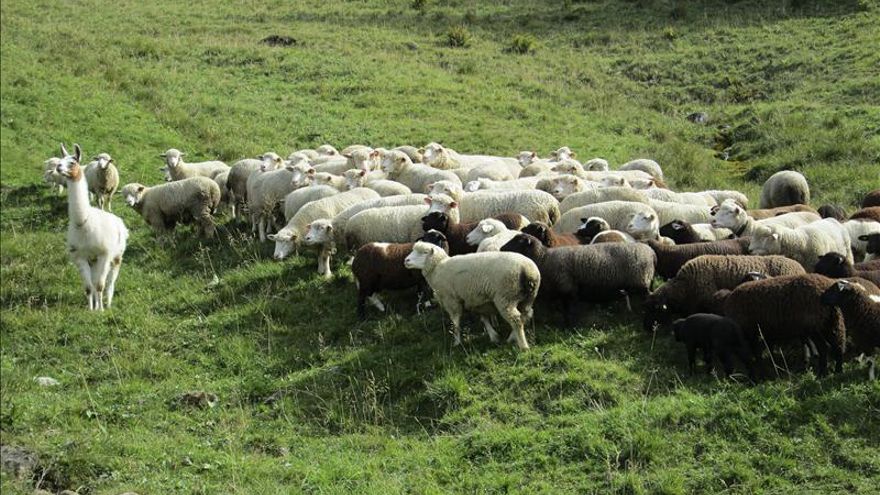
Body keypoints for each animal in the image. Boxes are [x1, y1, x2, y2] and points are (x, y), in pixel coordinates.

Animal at [55, 144, 128, 311]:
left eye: (72, 162)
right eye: (60, 160)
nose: (58, 167)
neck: (83, 222)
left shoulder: (104, 254)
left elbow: (100, 285)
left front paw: (101, 310)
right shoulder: (80, 256)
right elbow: (89, 287)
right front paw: (91, 309)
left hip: (116, 255)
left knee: (110, 281)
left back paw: (108, 302)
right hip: (93, 259)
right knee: (94, 282)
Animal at [404, 241, 540, 350]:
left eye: (424, 252)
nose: (406, 260)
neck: (438, 267)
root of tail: (527, 270)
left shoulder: (451, 300)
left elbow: (455, 323)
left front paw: (457, 342)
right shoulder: (475, 299)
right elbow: (484, 318)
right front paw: (493, 336)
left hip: (505, 297)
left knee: (516, 320)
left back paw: (523, 346)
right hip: (528, 297)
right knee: (525, 315)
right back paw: (512, 338)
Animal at [500, 234, 655, 323]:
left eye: (519, 241)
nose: (501, 249)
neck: (544, 258)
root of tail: (651, 253)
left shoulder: (568, 290)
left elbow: (569, 310)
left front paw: (569, 326)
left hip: (641, 281)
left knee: (648, 297)